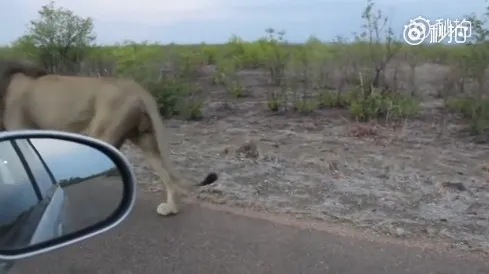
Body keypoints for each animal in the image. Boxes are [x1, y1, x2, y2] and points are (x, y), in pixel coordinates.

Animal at [0, 59, 217, 216]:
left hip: (104, 131)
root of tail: (135, 86)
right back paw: (170, 209)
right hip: (144, 137)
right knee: (166, 174)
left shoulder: (18, 125)